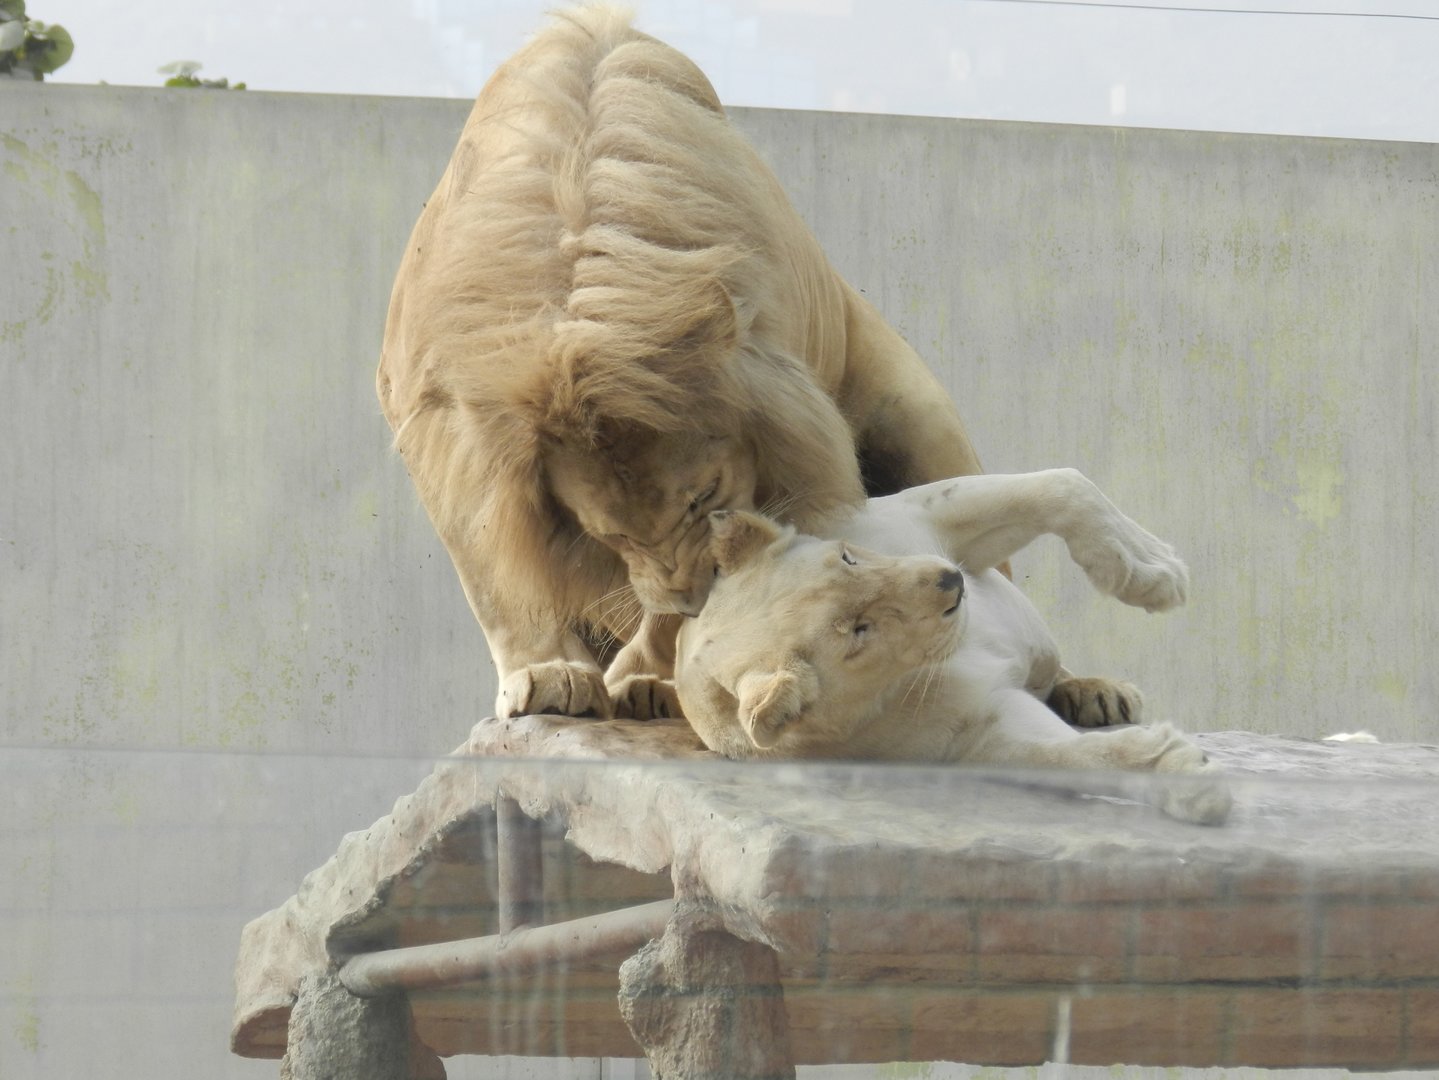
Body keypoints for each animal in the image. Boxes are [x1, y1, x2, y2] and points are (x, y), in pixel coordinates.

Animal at [377, 4, 1129, 725]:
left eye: (705, 495)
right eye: (607, 529)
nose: (688, 596)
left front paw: (650, 669)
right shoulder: (443, 431)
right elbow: (497, 576)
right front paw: (550, 672)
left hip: (925, 427)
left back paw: (1087, 690)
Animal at [673, 469, 1232, 825]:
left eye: (849, 557)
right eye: (859, 630)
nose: (951, 584)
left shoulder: (918, 518)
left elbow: (1061, 485)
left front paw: (1155, 572)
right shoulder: (972, 732)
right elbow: (1073, 756)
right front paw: (1189, 776)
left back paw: (1102, 694)